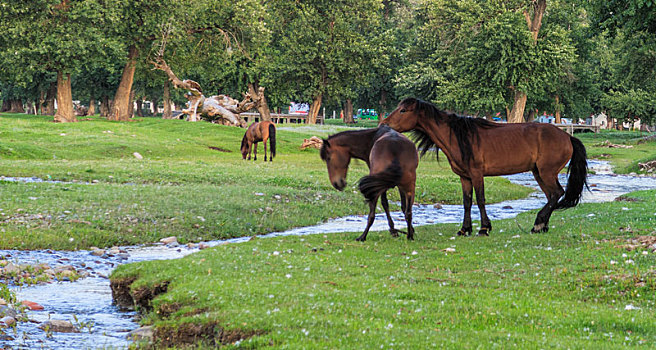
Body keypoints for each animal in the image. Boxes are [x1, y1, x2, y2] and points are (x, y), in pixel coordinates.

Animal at [380, 97, 588, 237]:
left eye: (403, 110)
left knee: (556, 193)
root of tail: (567, 137)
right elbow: (467, 202)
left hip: (546, 172)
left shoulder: (477, 174)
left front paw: (484, 228)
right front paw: (464, 229)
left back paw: (538, 224)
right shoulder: (464, 177)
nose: (384, 123)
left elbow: (480, 200)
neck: (458, 137)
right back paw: (542, 226)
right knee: (551, 195)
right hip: (538, 173)